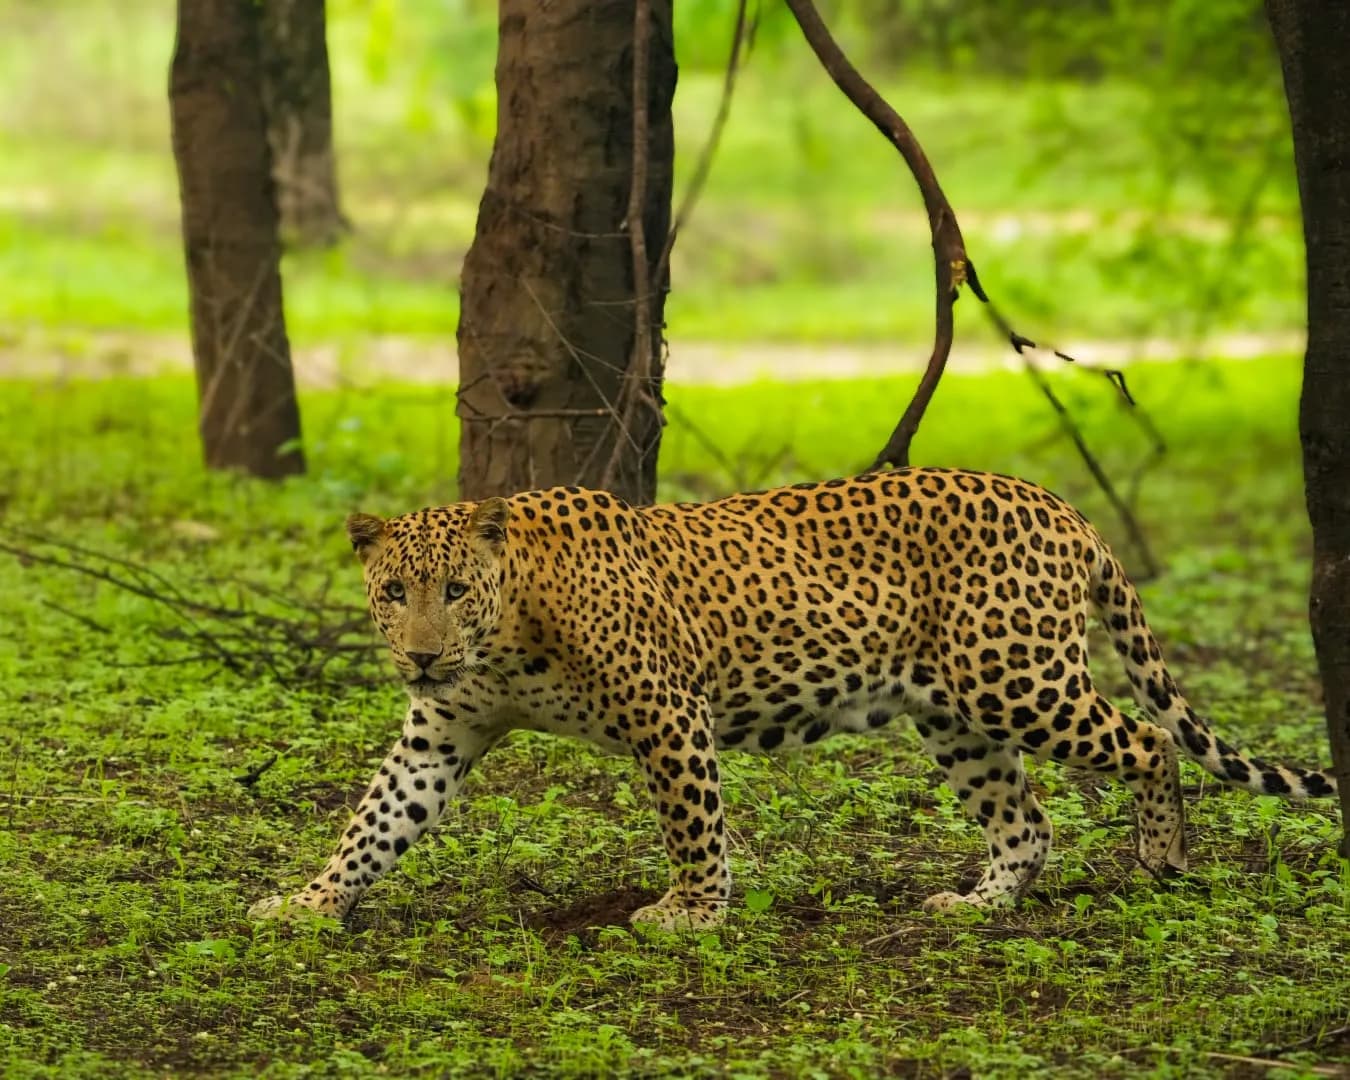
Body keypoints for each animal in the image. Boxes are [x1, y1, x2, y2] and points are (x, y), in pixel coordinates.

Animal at [249, 468, 1337, 930]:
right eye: (395, 592)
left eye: (453, 589)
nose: (422, 655)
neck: (505, 634)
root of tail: (1060, 505)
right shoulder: (438, 734)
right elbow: (374, 823)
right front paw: (308, 901)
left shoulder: (668, 712)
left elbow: (693, 827)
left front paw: (691, 913)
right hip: (956, 715)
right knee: (1025, 822)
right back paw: (975, 904)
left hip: (1016, 677)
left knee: (1150, 738)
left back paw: (1163, 854)